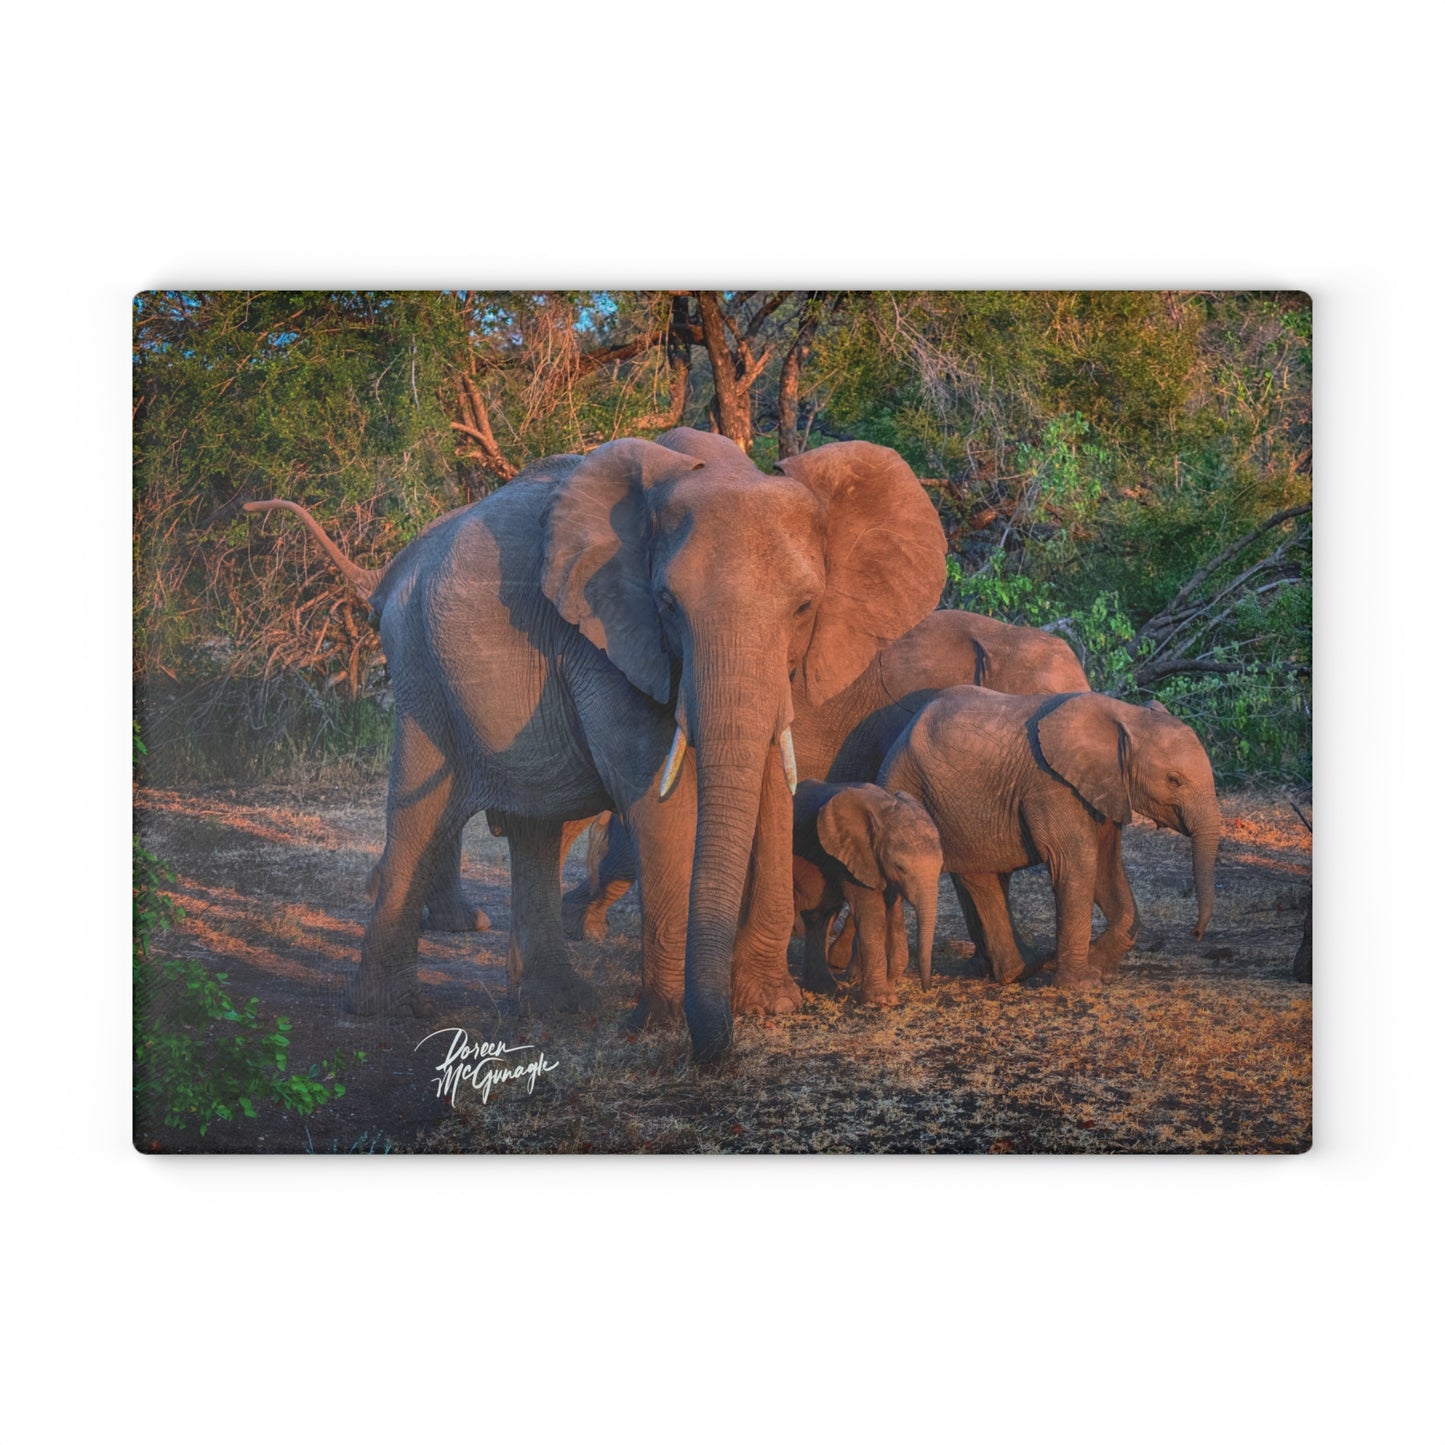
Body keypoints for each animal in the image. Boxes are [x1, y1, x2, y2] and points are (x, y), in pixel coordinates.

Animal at [790, 780, 943, 1006]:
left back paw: (826, 988)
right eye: (901, 867)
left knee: (820, 918)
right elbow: (871, 913)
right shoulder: (854, 856)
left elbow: (894, 913)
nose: (927, 989)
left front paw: (891, 989)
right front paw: (881, 1000)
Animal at [878, 687, 1222, 989]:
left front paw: (1099, 968)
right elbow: (1077, 862)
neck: (1126, 715)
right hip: (917, 791)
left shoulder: (1106, 788)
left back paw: (1020, 968)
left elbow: (1106, 867)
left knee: (980, 877)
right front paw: (1080, 984)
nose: (1195, 933)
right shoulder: (1052, 785)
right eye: (1173, 780)